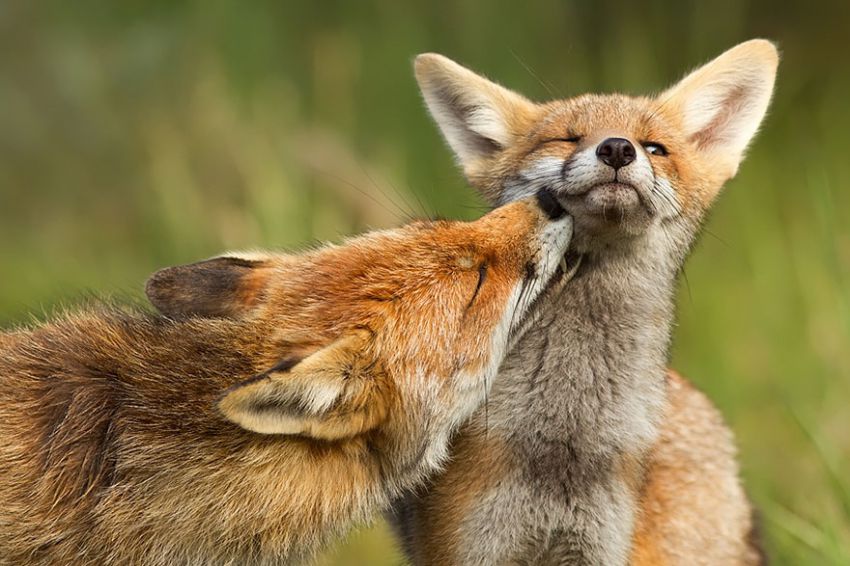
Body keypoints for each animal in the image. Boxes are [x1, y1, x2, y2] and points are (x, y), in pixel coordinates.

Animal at [390, 38, 776, 564]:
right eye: (568, 139)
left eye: (655, 148)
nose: (616, 148)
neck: (565, 442)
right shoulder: (468, 545)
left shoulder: (599, 546)